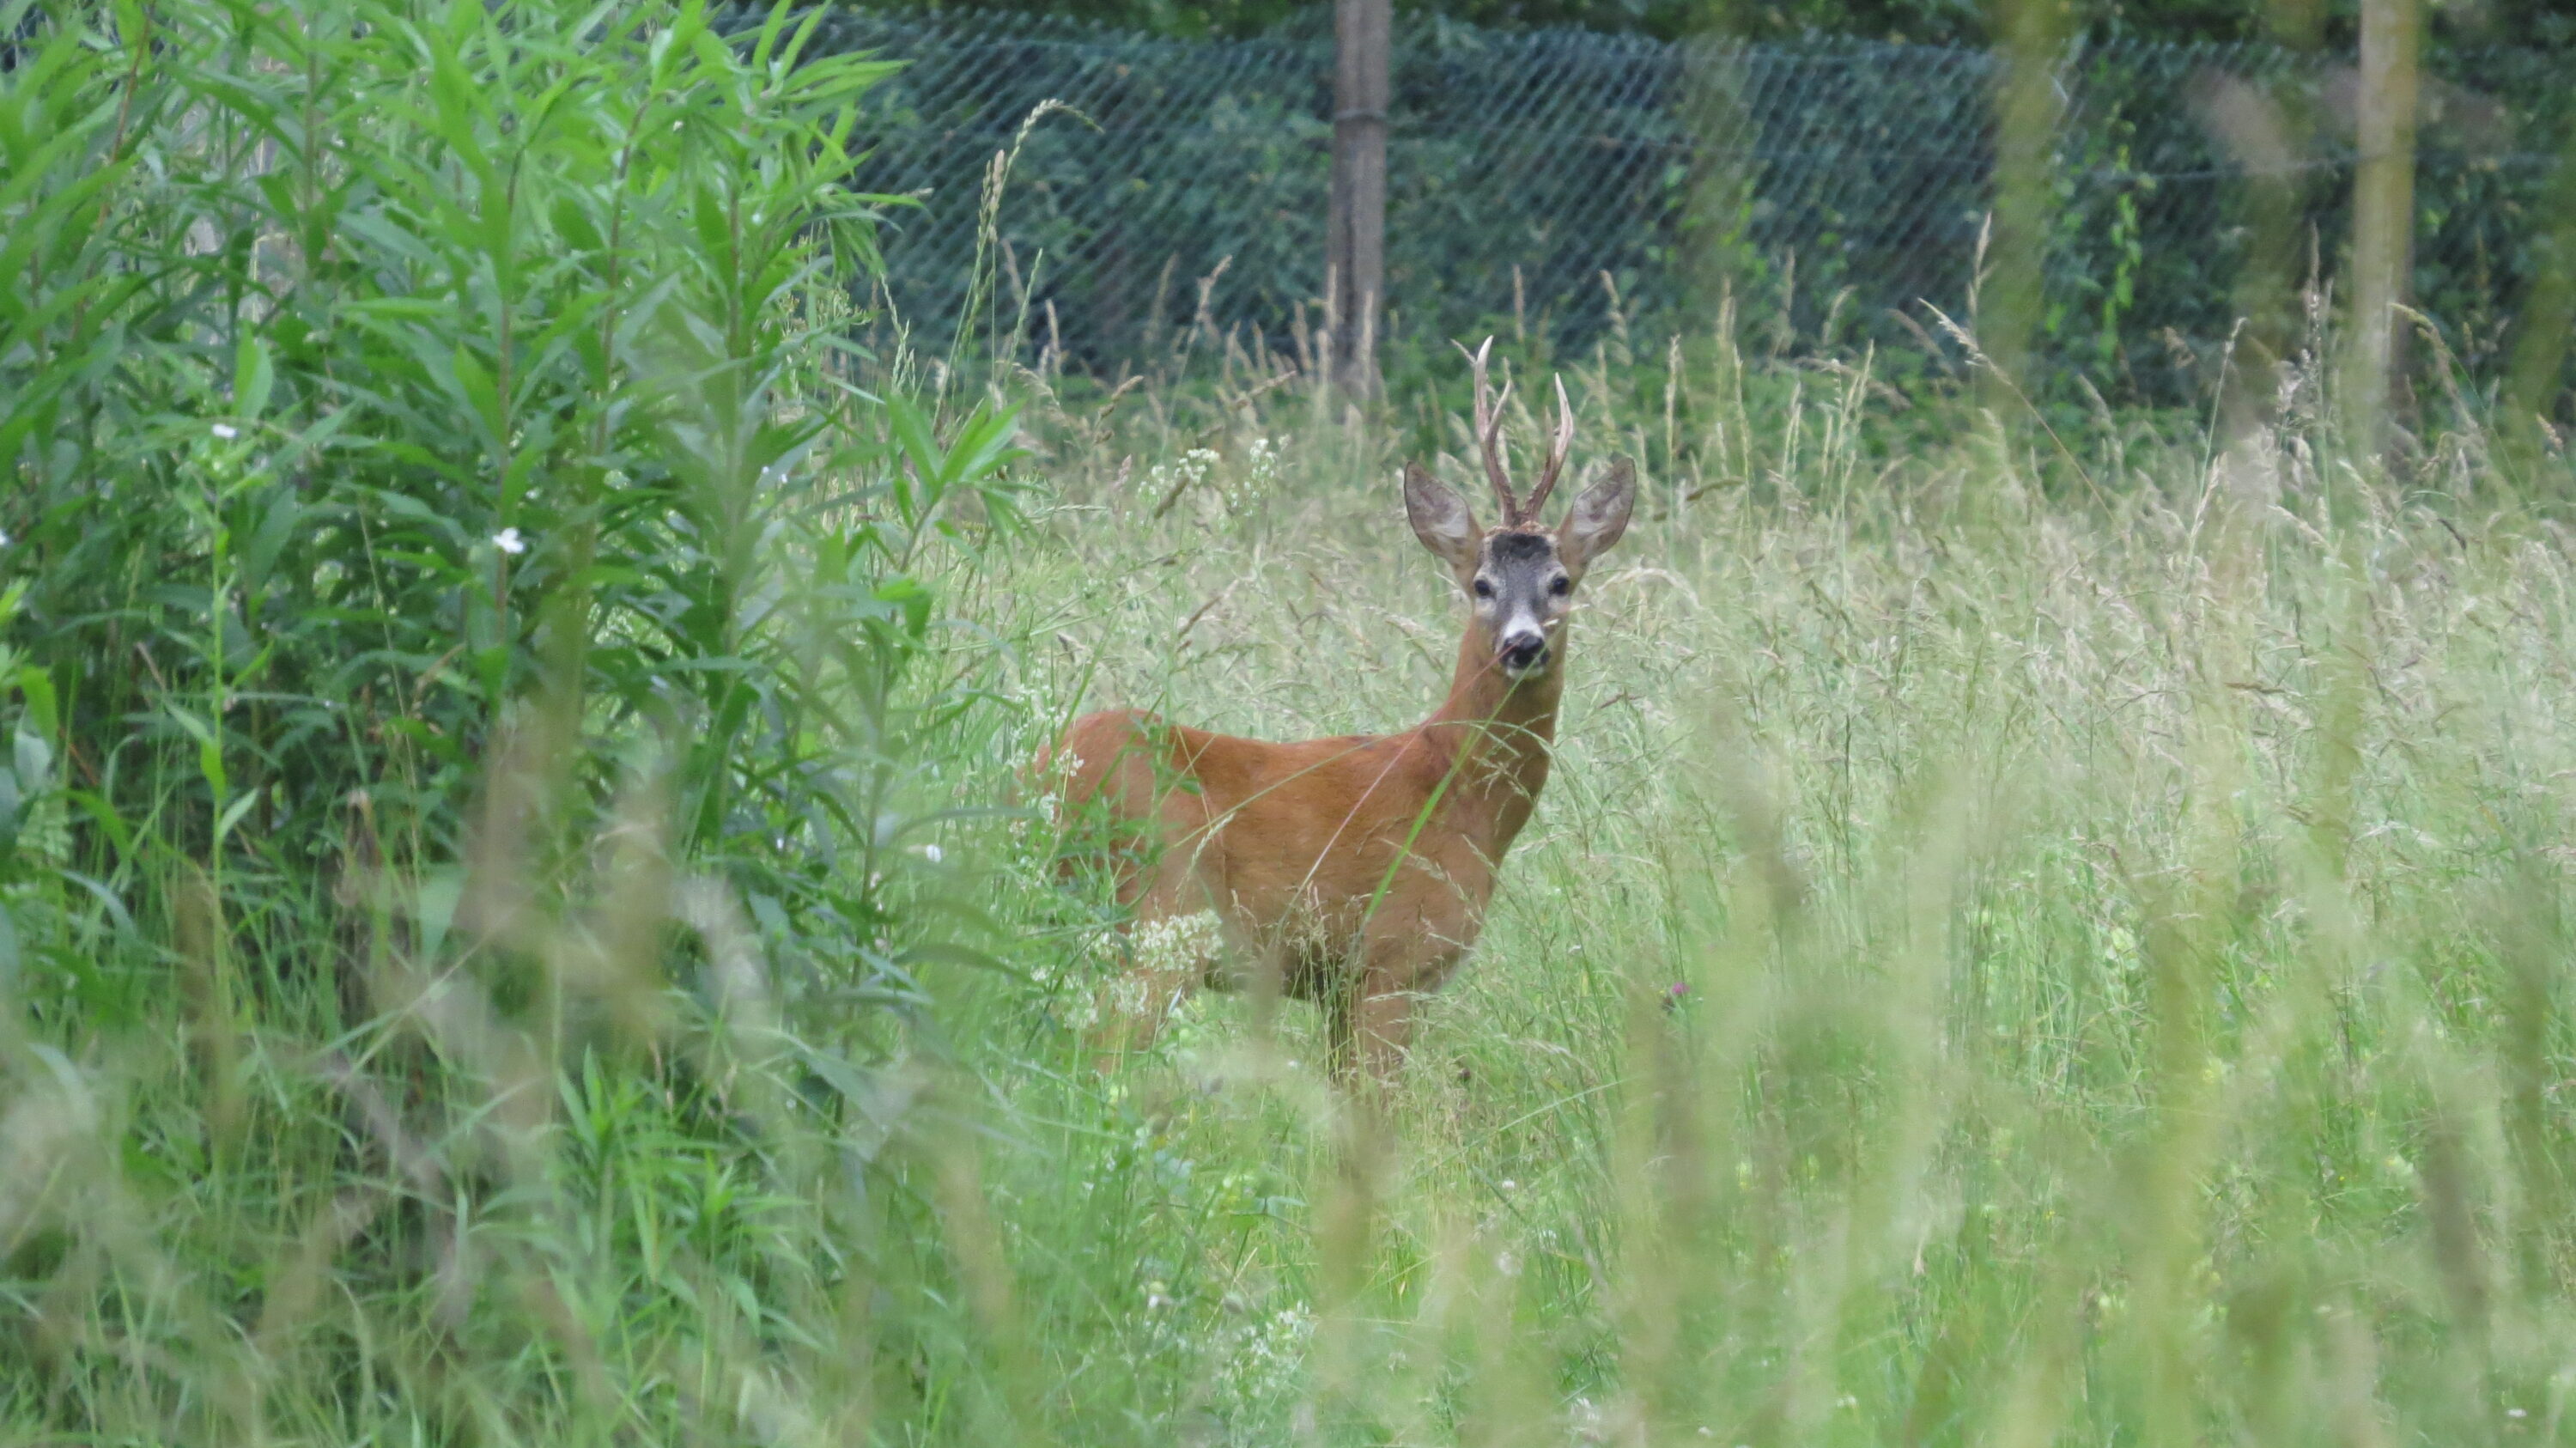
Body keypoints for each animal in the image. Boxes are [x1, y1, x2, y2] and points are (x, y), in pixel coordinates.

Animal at [1046, 340, 1635, 1082]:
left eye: (1561, 583)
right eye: (1481, 584)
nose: (1523, 643)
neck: (1458, 791)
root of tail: (1037, 774)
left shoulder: (1339, 986)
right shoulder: (1394, 961)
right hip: (1155, 923)